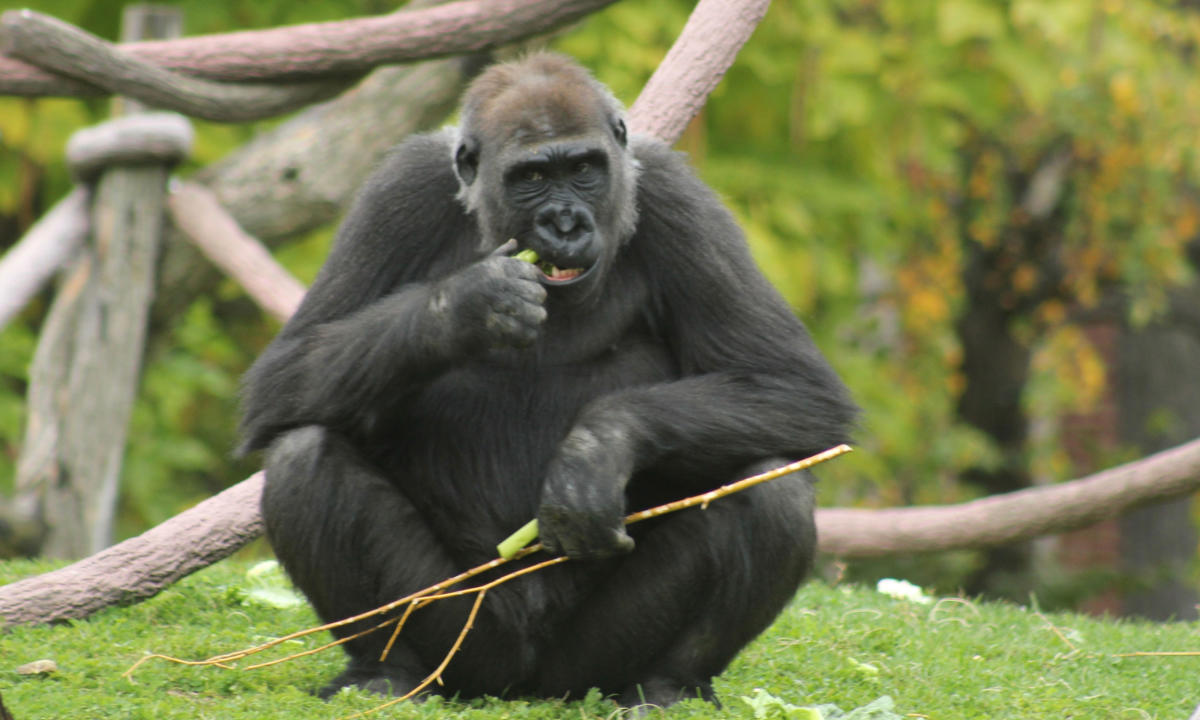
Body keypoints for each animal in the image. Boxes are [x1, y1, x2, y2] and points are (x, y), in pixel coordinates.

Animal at [238, 54, 854, 710]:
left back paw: (669, 682)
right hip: (468, 642)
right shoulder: (398, 192)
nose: (564, 223)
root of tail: (523, 685)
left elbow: (793, 384)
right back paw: (387, 668)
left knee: (770, 486)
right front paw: (467, 306)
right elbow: (286, 377)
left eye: (583, 170)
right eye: (532, 176)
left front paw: (596, 449)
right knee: (305, 457)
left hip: (586, 666)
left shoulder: (676, 197)